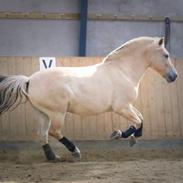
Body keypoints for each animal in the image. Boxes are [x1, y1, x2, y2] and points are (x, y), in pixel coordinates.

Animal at [0, 36, 177, 161]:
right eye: (166, 55)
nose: (174, 76)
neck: (122, 70)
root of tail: (29, 80)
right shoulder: (121, 107)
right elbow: (138, 121)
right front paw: (122, 135)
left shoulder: (127, 105)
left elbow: (141, 118)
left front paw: (128, 136)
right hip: (57, 113)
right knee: (54, 132)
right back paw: (75, 152)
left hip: (42, 113)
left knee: (42, 134)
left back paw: (53, 158)